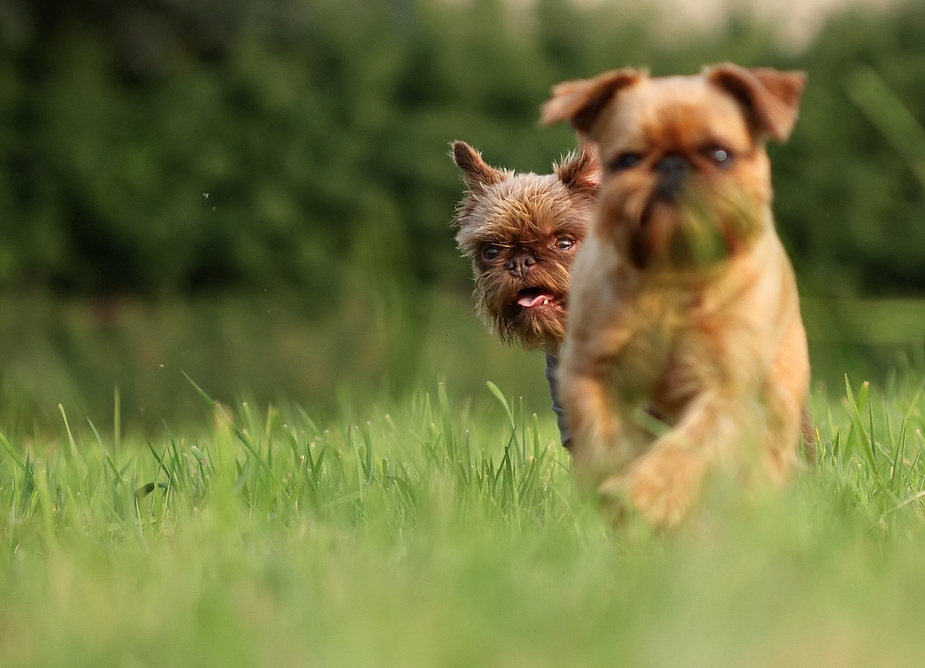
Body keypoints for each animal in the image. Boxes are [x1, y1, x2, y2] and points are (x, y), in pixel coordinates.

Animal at [540, 64, 808, 528]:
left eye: (719, 155)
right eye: (627, 160)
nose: (672, 164)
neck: (671, 272)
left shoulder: (723, 390)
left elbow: (689, 448)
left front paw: (645, 494)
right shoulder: (588, 372)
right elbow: (603, 437)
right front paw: (617, 486)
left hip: (777, 403)